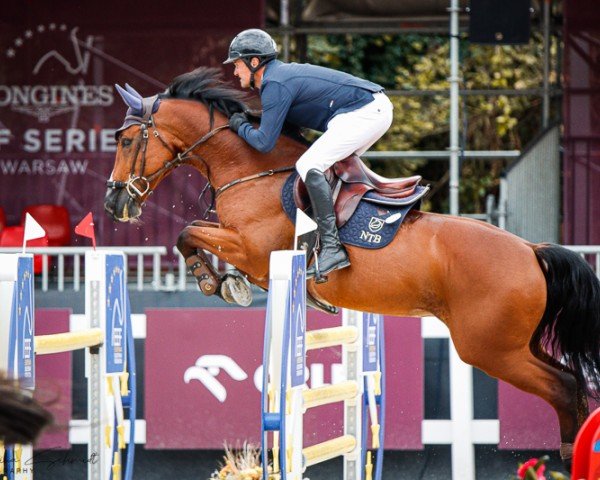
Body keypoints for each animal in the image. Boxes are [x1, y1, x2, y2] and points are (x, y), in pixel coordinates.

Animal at [104, 66, 600, 464]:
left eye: (126, 140)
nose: (113, 203)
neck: (250, 171)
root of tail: (532, 250)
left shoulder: (251, 248)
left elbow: (188, 232)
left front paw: (216, 282)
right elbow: (190, 232)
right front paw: (225, 281)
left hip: (491, 348)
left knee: (562, 388)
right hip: (519, 343)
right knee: (574, 384)